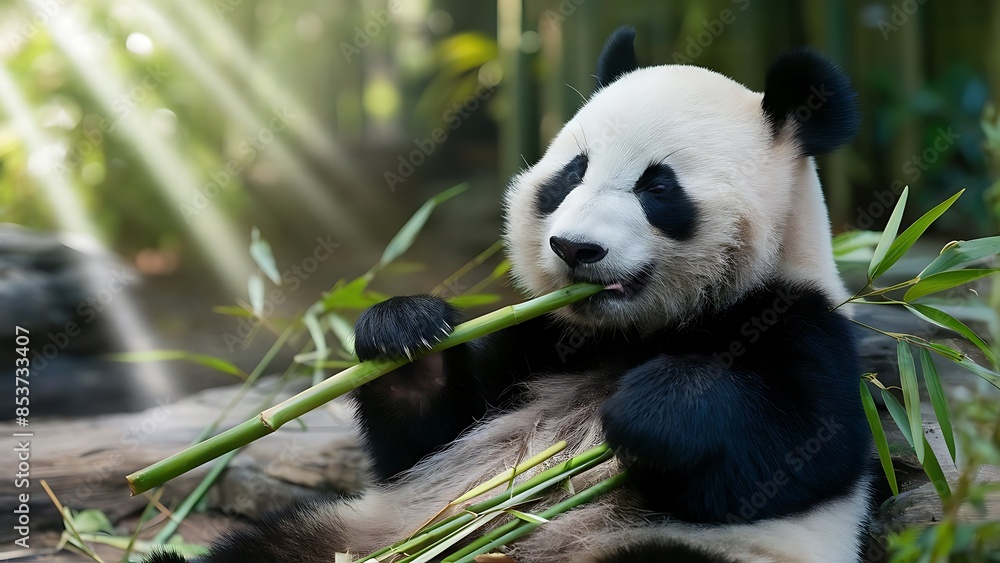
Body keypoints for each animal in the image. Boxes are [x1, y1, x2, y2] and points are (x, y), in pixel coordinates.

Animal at [148, 27, 871, 563]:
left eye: (657, 187)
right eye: (571, 173)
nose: (575, 248)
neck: (634, 330)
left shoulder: (796, 319)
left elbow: (800, 445)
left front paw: (650, 407)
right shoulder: (538, 339)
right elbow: (425, 443)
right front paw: (405, 329)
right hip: (354, 531)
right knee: (265, 546)